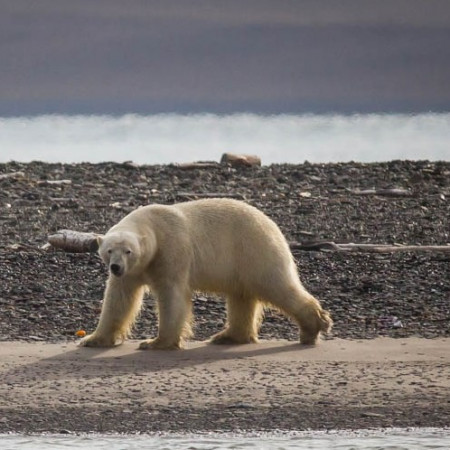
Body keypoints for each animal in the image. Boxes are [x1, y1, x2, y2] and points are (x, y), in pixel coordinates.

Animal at [79, 199, 332, 350]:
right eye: (109, 250)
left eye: (128, 251)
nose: (116, 267)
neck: (151, 225)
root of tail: (273, 225)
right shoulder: (133, 272)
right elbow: (118, 299)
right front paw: (93, 339)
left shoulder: (171, 251)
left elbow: (172, 295)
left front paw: (155, 342)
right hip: (241, 262)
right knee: (241, 296)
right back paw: (228, 336)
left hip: (254, 250)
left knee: (276, 285)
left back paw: (313, 327)